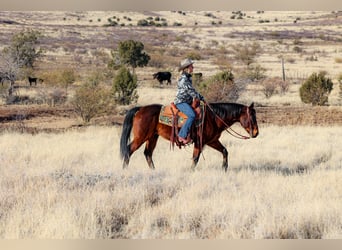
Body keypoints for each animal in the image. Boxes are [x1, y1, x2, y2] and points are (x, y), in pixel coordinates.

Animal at [120, 102, 260, 171]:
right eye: (252, 117)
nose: (256, 133)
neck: (213, 117)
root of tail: (140, 109)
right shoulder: (200, 142)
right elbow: (195, 158)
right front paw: (191, 171)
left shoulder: (212, 140)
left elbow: (225, 151)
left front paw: (224, 168)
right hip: (141, 137)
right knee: (129, 150)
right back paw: (124, 170)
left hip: (152, 137)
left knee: (148, 153)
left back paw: (154, 171)